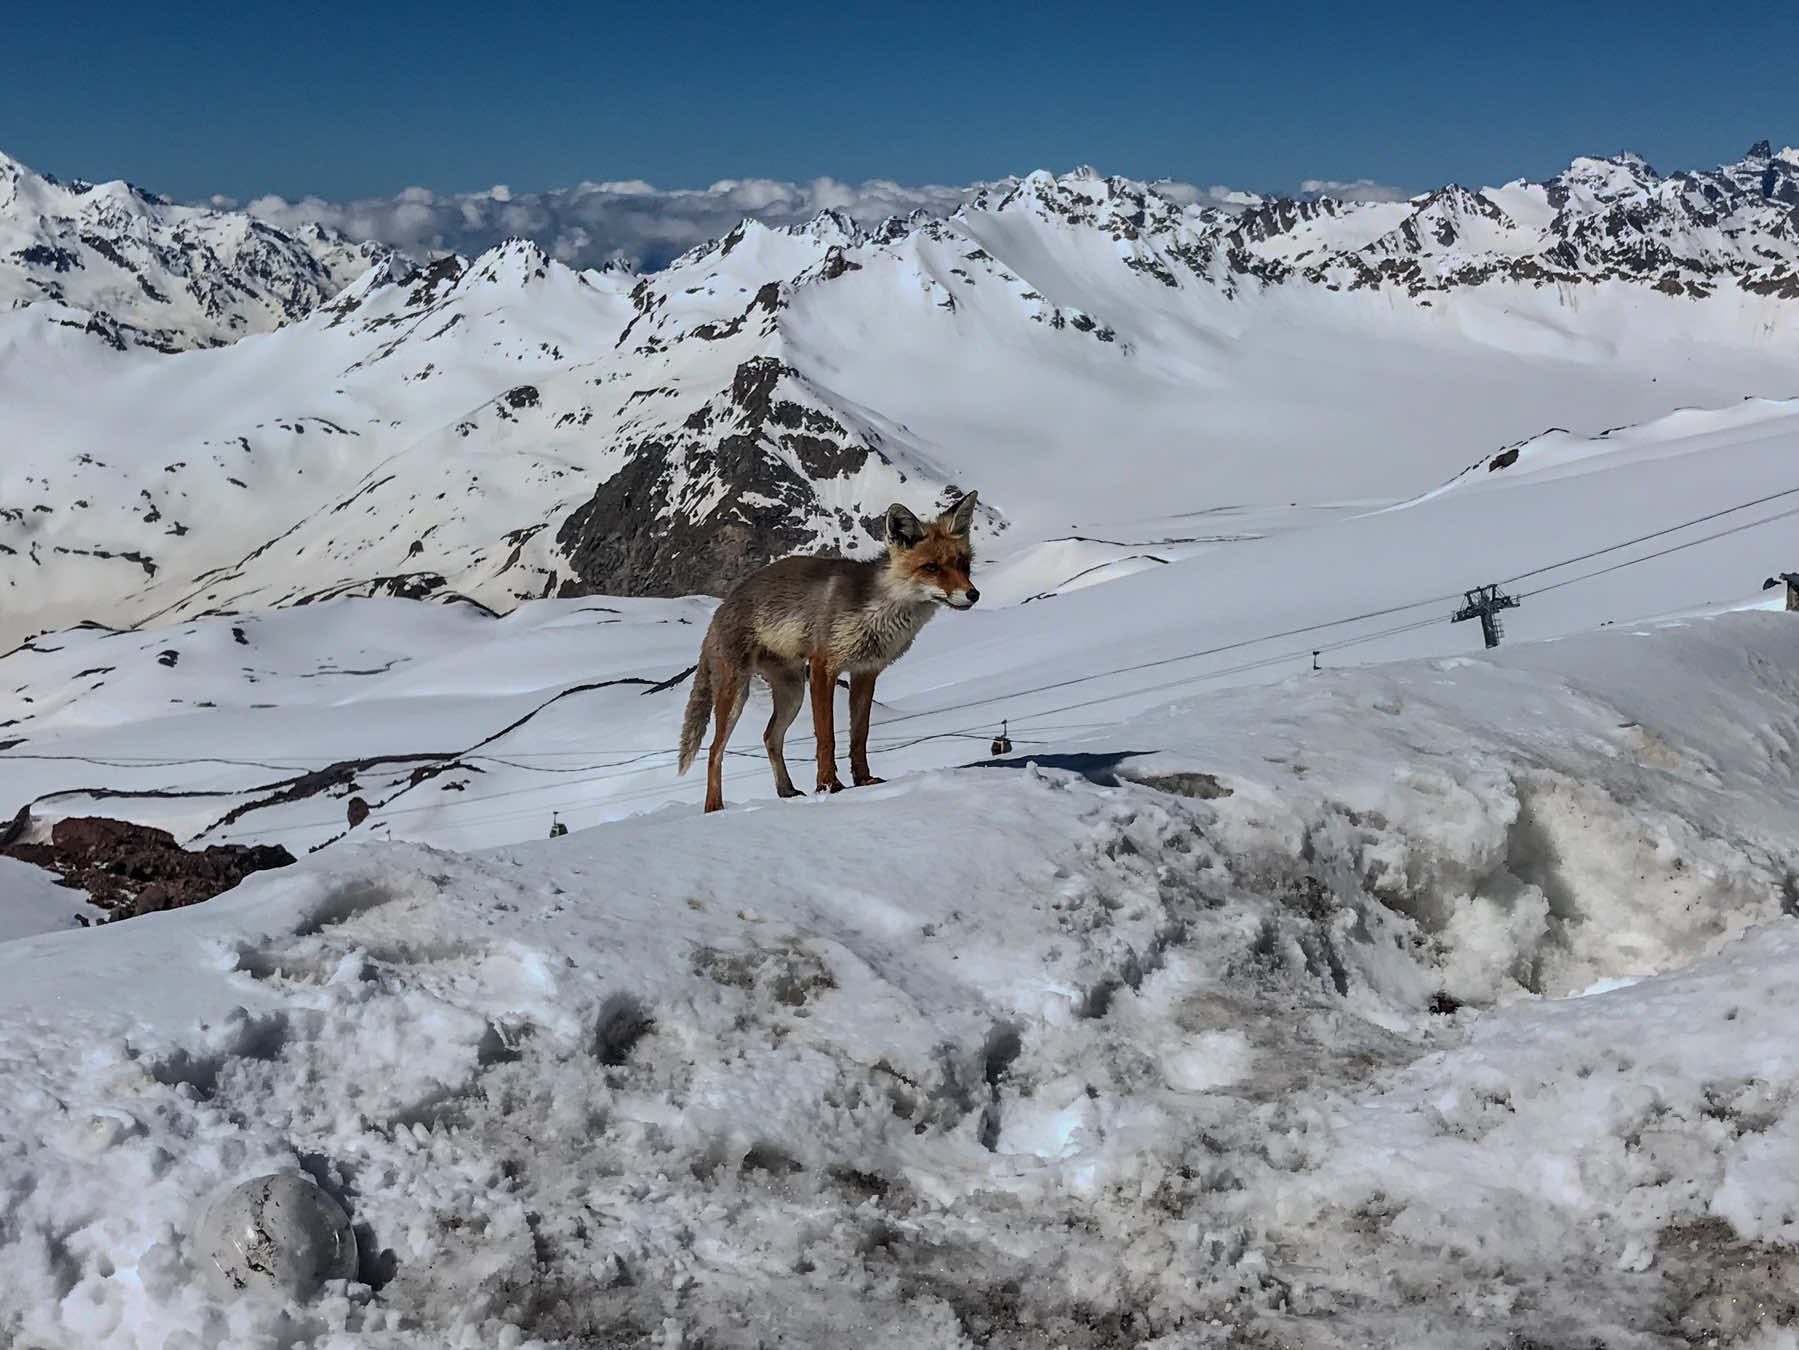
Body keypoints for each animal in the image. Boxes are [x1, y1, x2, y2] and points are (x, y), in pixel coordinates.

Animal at [676, 496, 985, 813]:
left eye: (964, 565)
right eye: (931, 567)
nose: (973, 594)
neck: (878, 612)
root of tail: (719, 611)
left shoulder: (865, 672)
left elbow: (859, 737)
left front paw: (863, 781)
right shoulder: (824, 666)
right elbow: (826, 737)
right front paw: (828, 785)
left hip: (792, 692)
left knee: (770, 736)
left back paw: (786, 790)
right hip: (738, 693)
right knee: (715, 750)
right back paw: (714, 807)